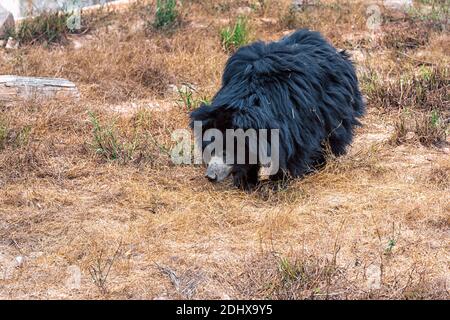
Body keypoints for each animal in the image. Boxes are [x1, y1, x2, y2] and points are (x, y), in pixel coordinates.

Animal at [190, 28, 366, 189]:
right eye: (210, 147)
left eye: (227, 151)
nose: (210, 176)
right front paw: (246, 182)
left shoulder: (292, 117)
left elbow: (294, 147)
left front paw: (281, 181)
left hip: (334, 103)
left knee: (333, 133)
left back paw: (321, 162)